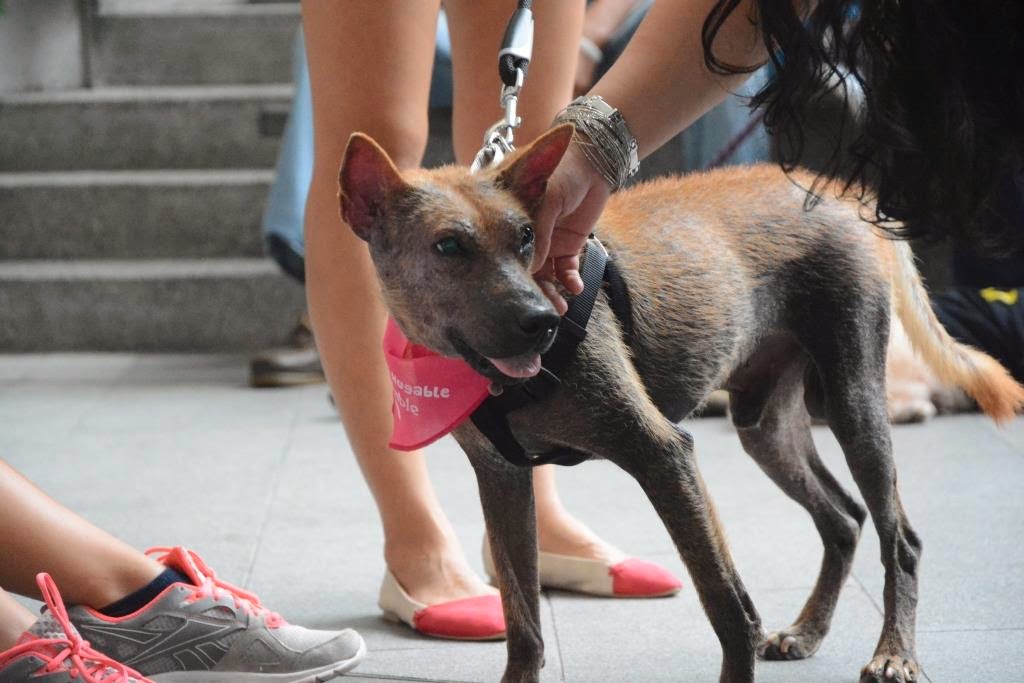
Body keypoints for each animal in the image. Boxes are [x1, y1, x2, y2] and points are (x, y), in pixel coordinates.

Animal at [337, 124, 1024, 683]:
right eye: (449, 247)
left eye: (527, 236)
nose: (543, 325)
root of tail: (837, 188)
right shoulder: (502, 480)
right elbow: (523, 618)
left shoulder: (663, 454)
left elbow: (726, 605)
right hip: (766, 426)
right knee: (844, 518)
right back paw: (808, 630)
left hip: (854, 405)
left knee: (898, 536)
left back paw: (894, 655)